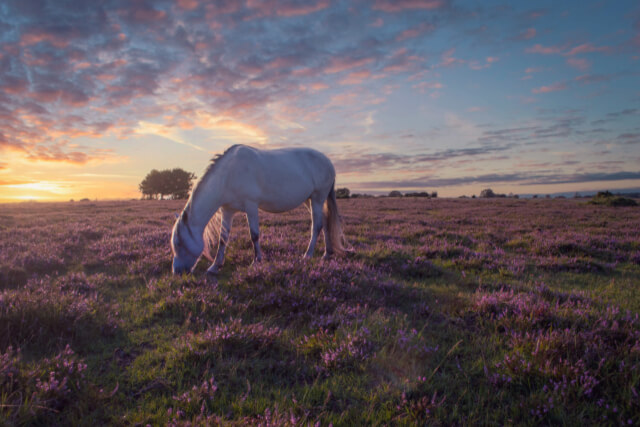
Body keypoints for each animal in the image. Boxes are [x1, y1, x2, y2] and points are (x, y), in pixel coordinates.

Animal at [172, 145, 348, 276]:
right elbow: (223, 238)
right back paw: (327, 253)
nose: (177, 272)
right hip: (310, 200)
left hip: (318, 198)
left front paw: (256, 261)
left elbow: (254, 235)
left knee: (316, 226)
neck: (228, 174)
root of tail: (328, 162)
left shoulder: (251, 206)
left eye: (179, 243)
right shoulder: (227, 210)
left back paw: (308, 255)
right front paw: (215, 266)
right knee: (325, 223)